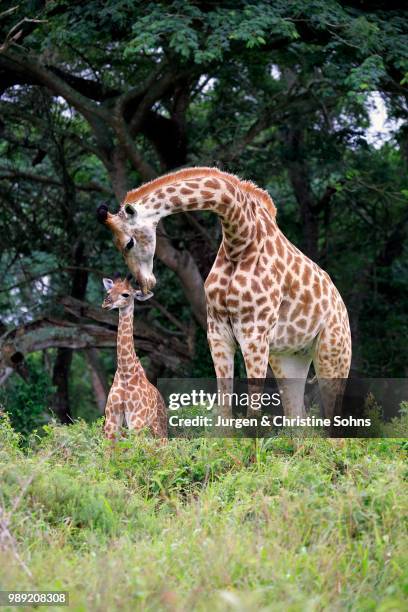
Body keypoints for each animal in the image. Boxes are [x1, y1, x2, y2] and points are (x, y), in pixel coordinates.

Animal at [97, 165, 352, 418]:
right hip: (290, 357)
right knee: (298, 418)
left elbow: (253, 413)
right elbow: (224, 410)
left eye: (129, 243)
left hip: (333, 355)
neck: (240, 240)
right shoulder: (217, 332)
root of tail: (341, 306)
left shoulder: (254, 333)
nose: (144, 283)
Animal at [101, 274, 167, 440]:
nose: (106, 302)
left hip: (157, 433)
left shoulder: (137, 420)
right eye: (108, 291)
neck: (126, 371)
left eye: (126, 294)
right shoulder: (111, 419)